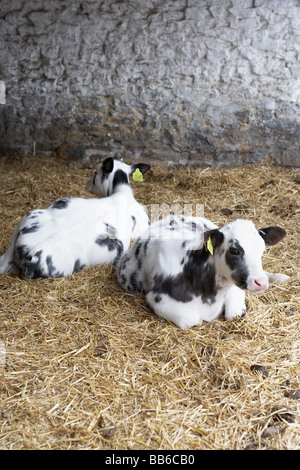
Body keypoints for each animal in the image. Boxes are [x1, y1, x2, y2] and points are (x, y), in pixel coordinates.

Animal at [116, 216, 288, 328]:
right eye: (234, 250)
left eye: (262, 249)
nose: (261, 282)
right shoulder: (157, 299)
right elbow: (194, 320)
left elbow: (233, 313)